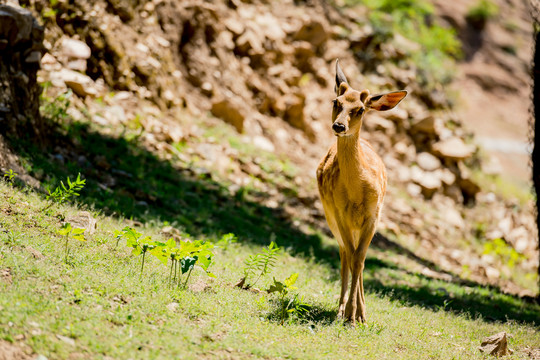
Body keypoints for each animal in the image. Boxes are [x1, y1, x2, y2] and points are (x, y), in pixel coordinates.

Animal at [316, 59, 404, 324]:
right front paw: (350, 314)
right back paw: (342, 309)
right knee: (345, 252)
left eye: (361, 109)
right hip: (330, 216)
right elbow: (353, 256)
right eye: (336, 102)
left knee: (356, 256)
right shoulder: (340, 214)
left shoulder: (374, 215)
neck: (356, 192)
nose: (339, 125)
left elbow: (361, 259)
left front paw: (358, 316)